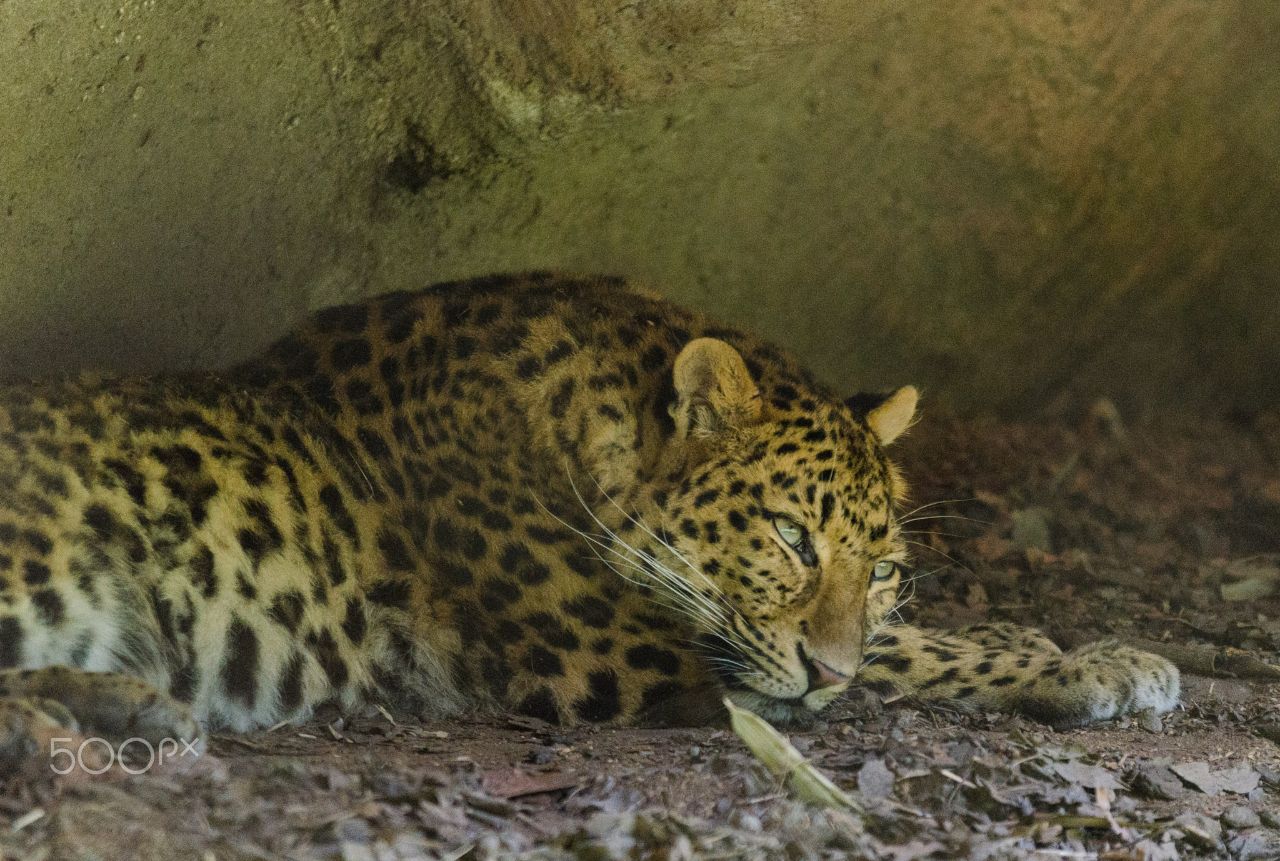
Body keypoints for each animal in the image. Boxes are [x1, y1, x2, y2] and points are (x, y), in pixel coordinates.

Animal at [0, 272, 1177, 767]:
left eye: (881, 568)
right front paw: (1103, 660)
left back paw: (127, 704)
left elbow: (909, 641)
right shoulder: (631, 644)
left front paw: (1045, 636)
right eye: (790, 539)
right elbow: (908, 659)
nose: (824, 672)